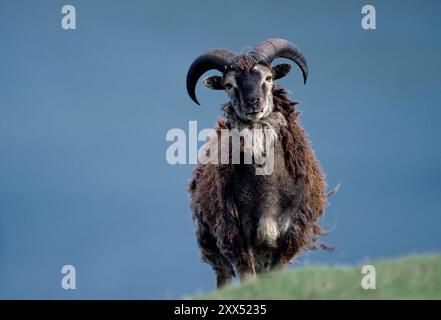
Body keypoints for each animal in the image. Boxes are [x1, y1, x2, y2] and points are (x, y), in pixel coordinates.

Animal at [185, 38, 334, 288]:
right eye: (229, 85)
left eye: (269, 78)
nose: (253, 103)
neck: (268, 196)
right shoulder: (236, 234)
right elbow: (247, 276)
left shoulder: (291, 234)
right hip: (209, 240)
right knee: (223, 275)